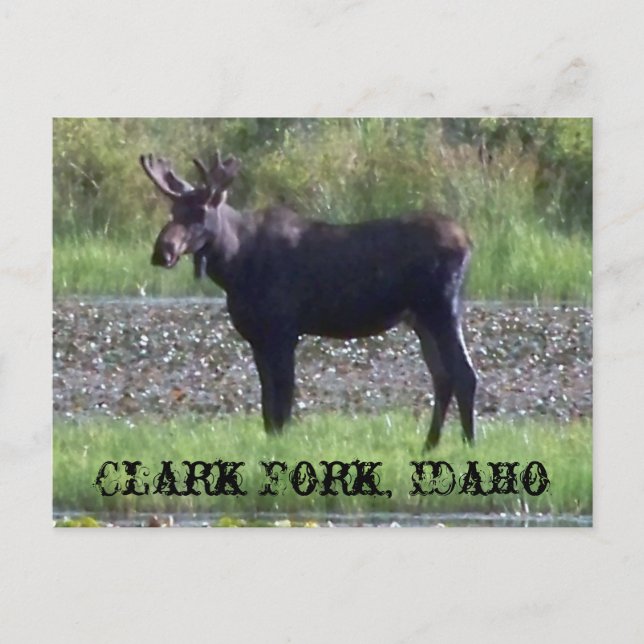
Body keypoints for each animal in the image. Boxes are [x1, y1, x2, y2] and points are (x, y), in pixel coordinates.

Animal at [140, 151, 477, 450]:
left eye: (199, 212)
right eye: (173, 211)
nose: (162, 251)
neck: (235, 267)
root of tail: (468, 243)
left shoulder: (284, 330)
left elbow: (283, 399)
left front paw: (283, 444)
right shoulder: (256, 337)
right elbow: (266, 402)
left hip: (441, 308)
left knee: (464, 374)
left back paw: (468, 443)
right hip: (420, 318)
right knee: (443, 377)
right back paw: (429, 445)